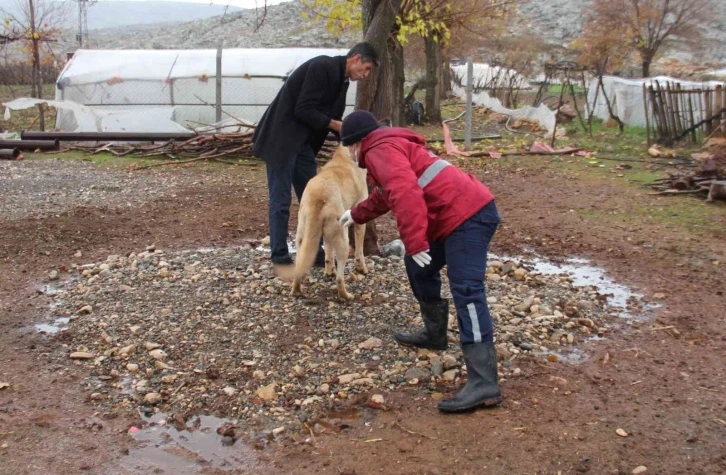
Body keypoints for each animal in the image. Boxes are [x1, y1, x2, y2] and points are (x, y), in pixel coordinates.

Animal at [274, 146, 370, 302]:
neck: (344, 156)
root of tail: (318, 197)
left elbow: (328, 253)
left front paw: (329, 271)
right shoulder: (359, 222)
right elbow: (359, 251)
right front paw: (361, 269)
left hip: (302, 238)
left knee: (299, 268)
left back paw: (297, 291)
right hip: (343, 240)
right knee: (340, 278)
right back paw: (345, 295)